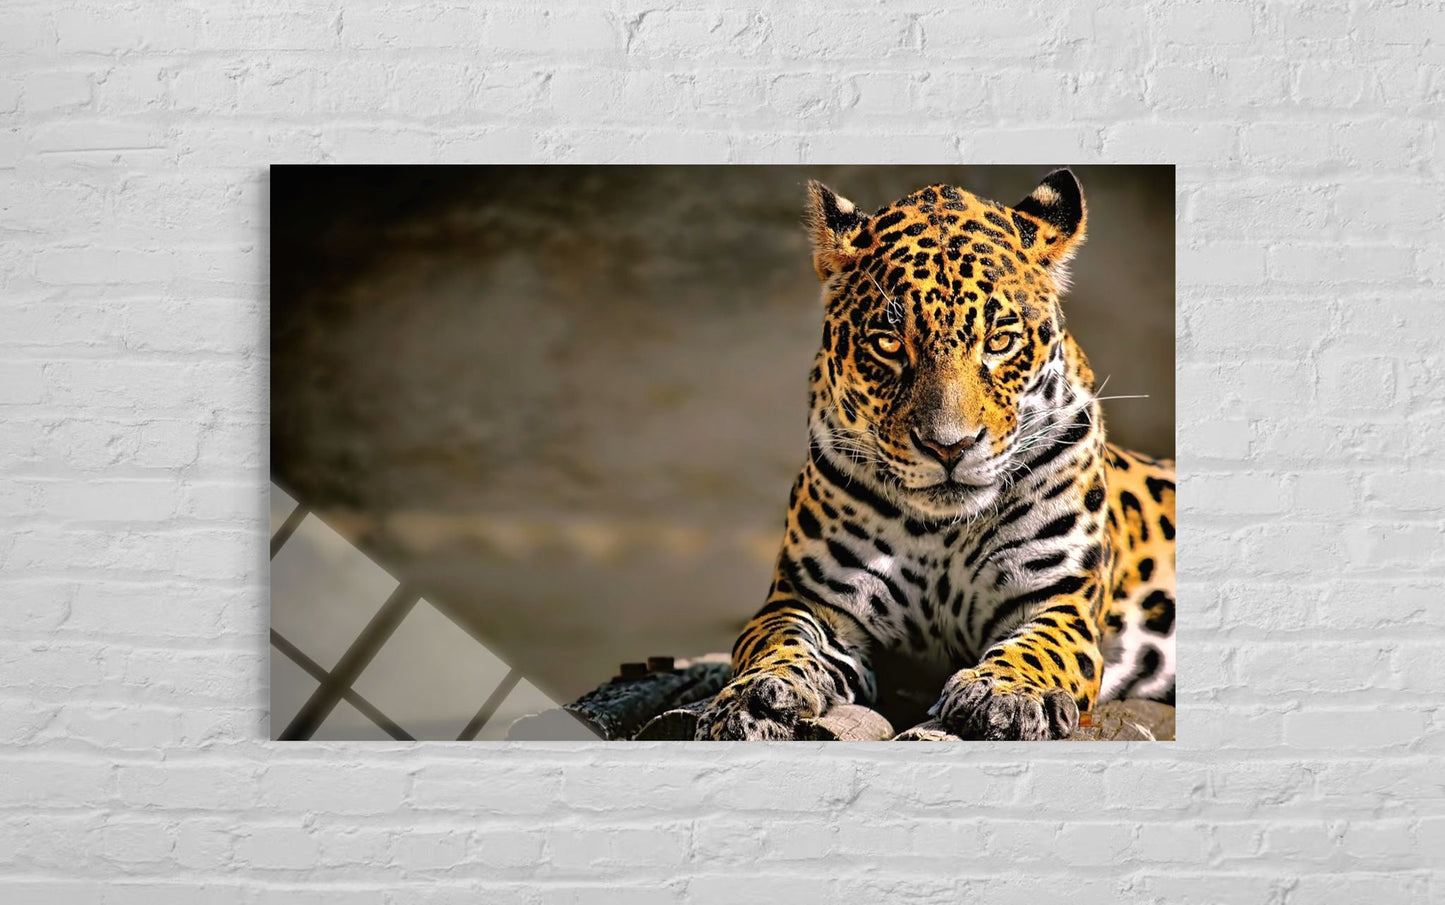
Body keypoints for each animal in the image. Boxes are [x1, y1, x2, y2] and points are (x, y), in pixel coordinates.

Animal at [695, 169, 1176, 741]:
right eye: (888, 344)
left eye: (1000, 341)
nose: (950, 446)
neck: (945, 532)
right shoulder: (809, 599)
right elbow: (776, 641)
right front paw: (752, 698)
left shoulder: (1060, 599)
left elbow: (1037, 649)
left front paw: (1002, 694)